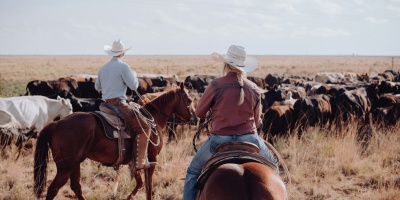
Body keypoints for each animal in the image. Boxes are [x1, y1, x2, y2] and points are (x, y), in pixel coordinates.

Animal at [33, 82, 193, 199]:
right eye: (190, 100)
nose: (194, 118)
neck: (153, 118)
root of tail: (58, 123)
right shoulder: (152, 159)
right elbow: (149, 187)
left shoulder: (133, 161)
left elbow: (140, 183)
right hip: (65, 167)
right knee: (53, 189)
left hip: (74, 164)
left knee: (76, 186)